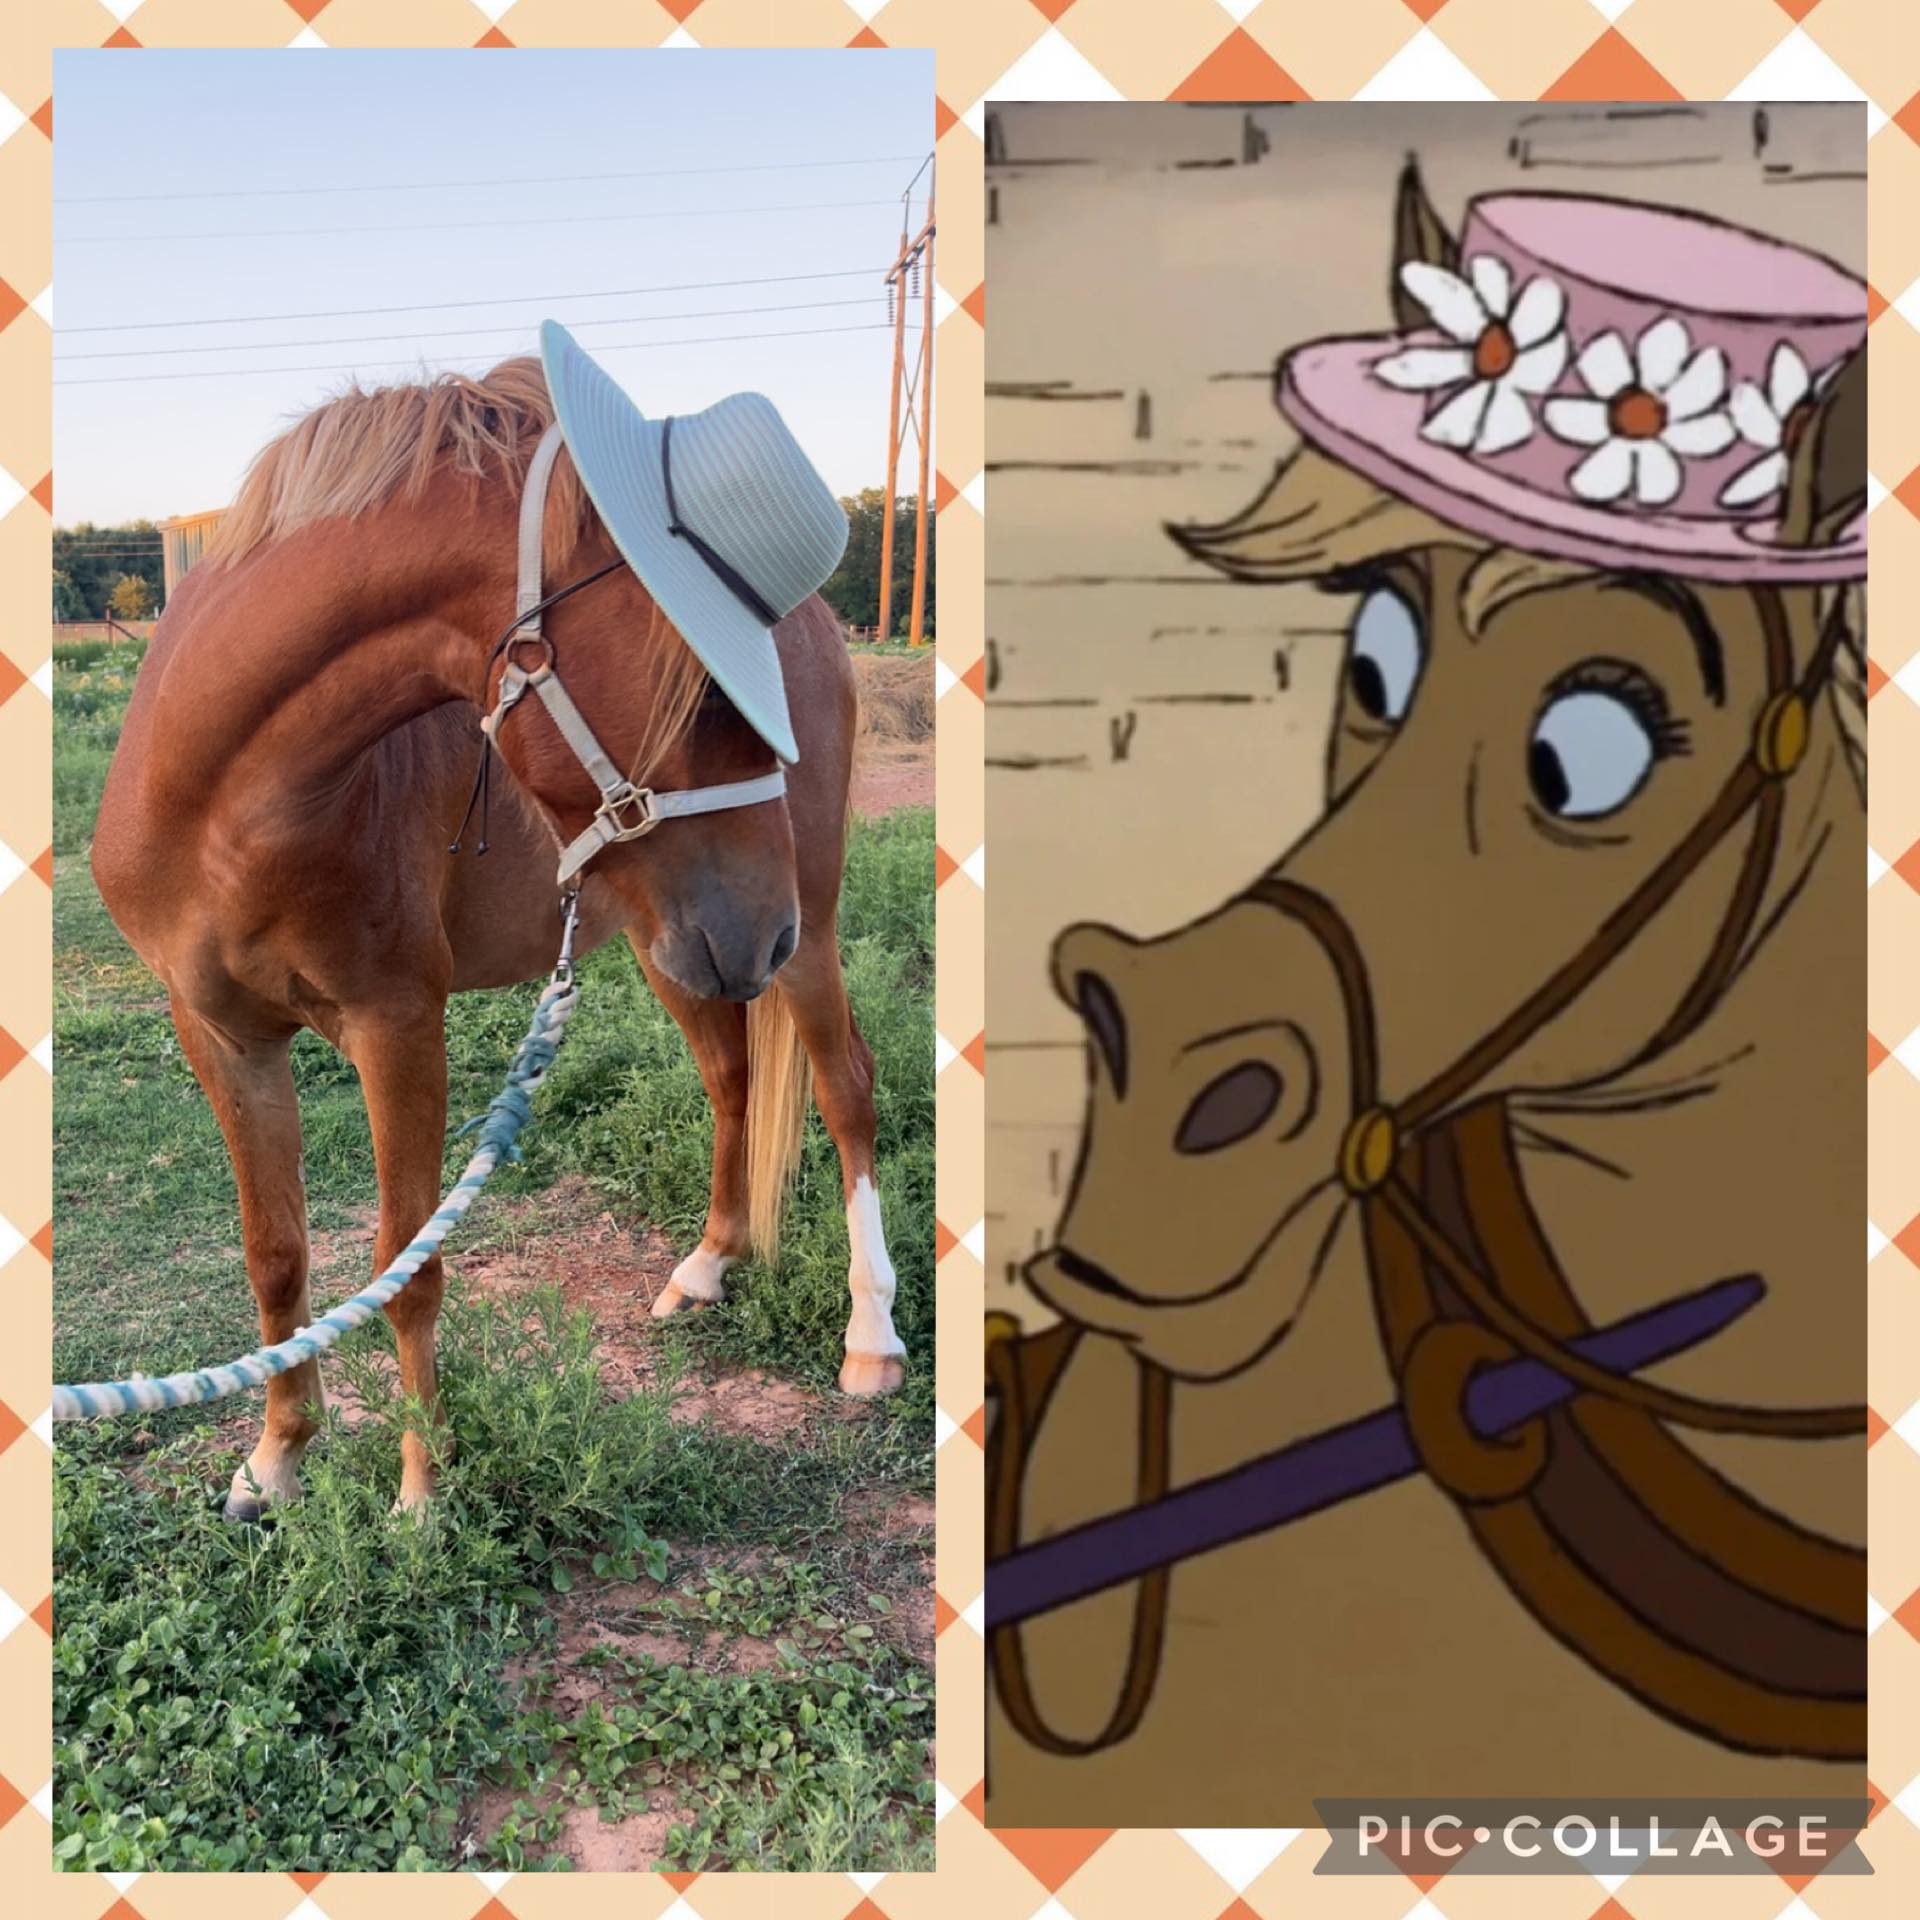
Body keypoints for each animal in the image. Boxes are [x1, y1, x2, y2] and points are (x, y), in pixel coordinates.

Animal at [90, 356, 907, 1520]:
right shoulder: (219, 1033)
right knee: (733, 1079)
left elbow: (407, 1265)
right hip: (672, 946)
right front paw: (278, 1458)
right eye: (705, 684)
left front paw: (421, 1495)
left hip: (803, 933)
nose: (764, 929)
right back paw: (706, 1265)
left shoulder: (397, 1027)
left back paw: (870, 1337)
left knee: (846, 1089)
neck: (220, 804)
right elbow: (276, 1253)